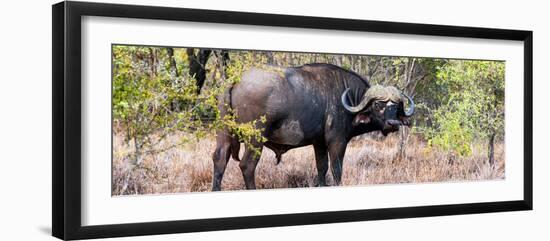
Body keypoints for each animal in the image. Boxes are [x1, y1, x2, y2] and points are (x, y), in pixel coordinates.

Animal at [211, 63, 414, 191]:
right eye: (378, 105)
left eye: (396, 107)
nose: (393, 124)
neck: (349, 99)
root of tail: (236, 79)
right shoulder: (337, 141)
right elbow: (336, 169)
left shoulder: (319, 143)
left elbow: (322, 168)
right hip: (255, 139)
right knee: (247, 165)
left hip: (224, 134)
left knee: (220, 159)